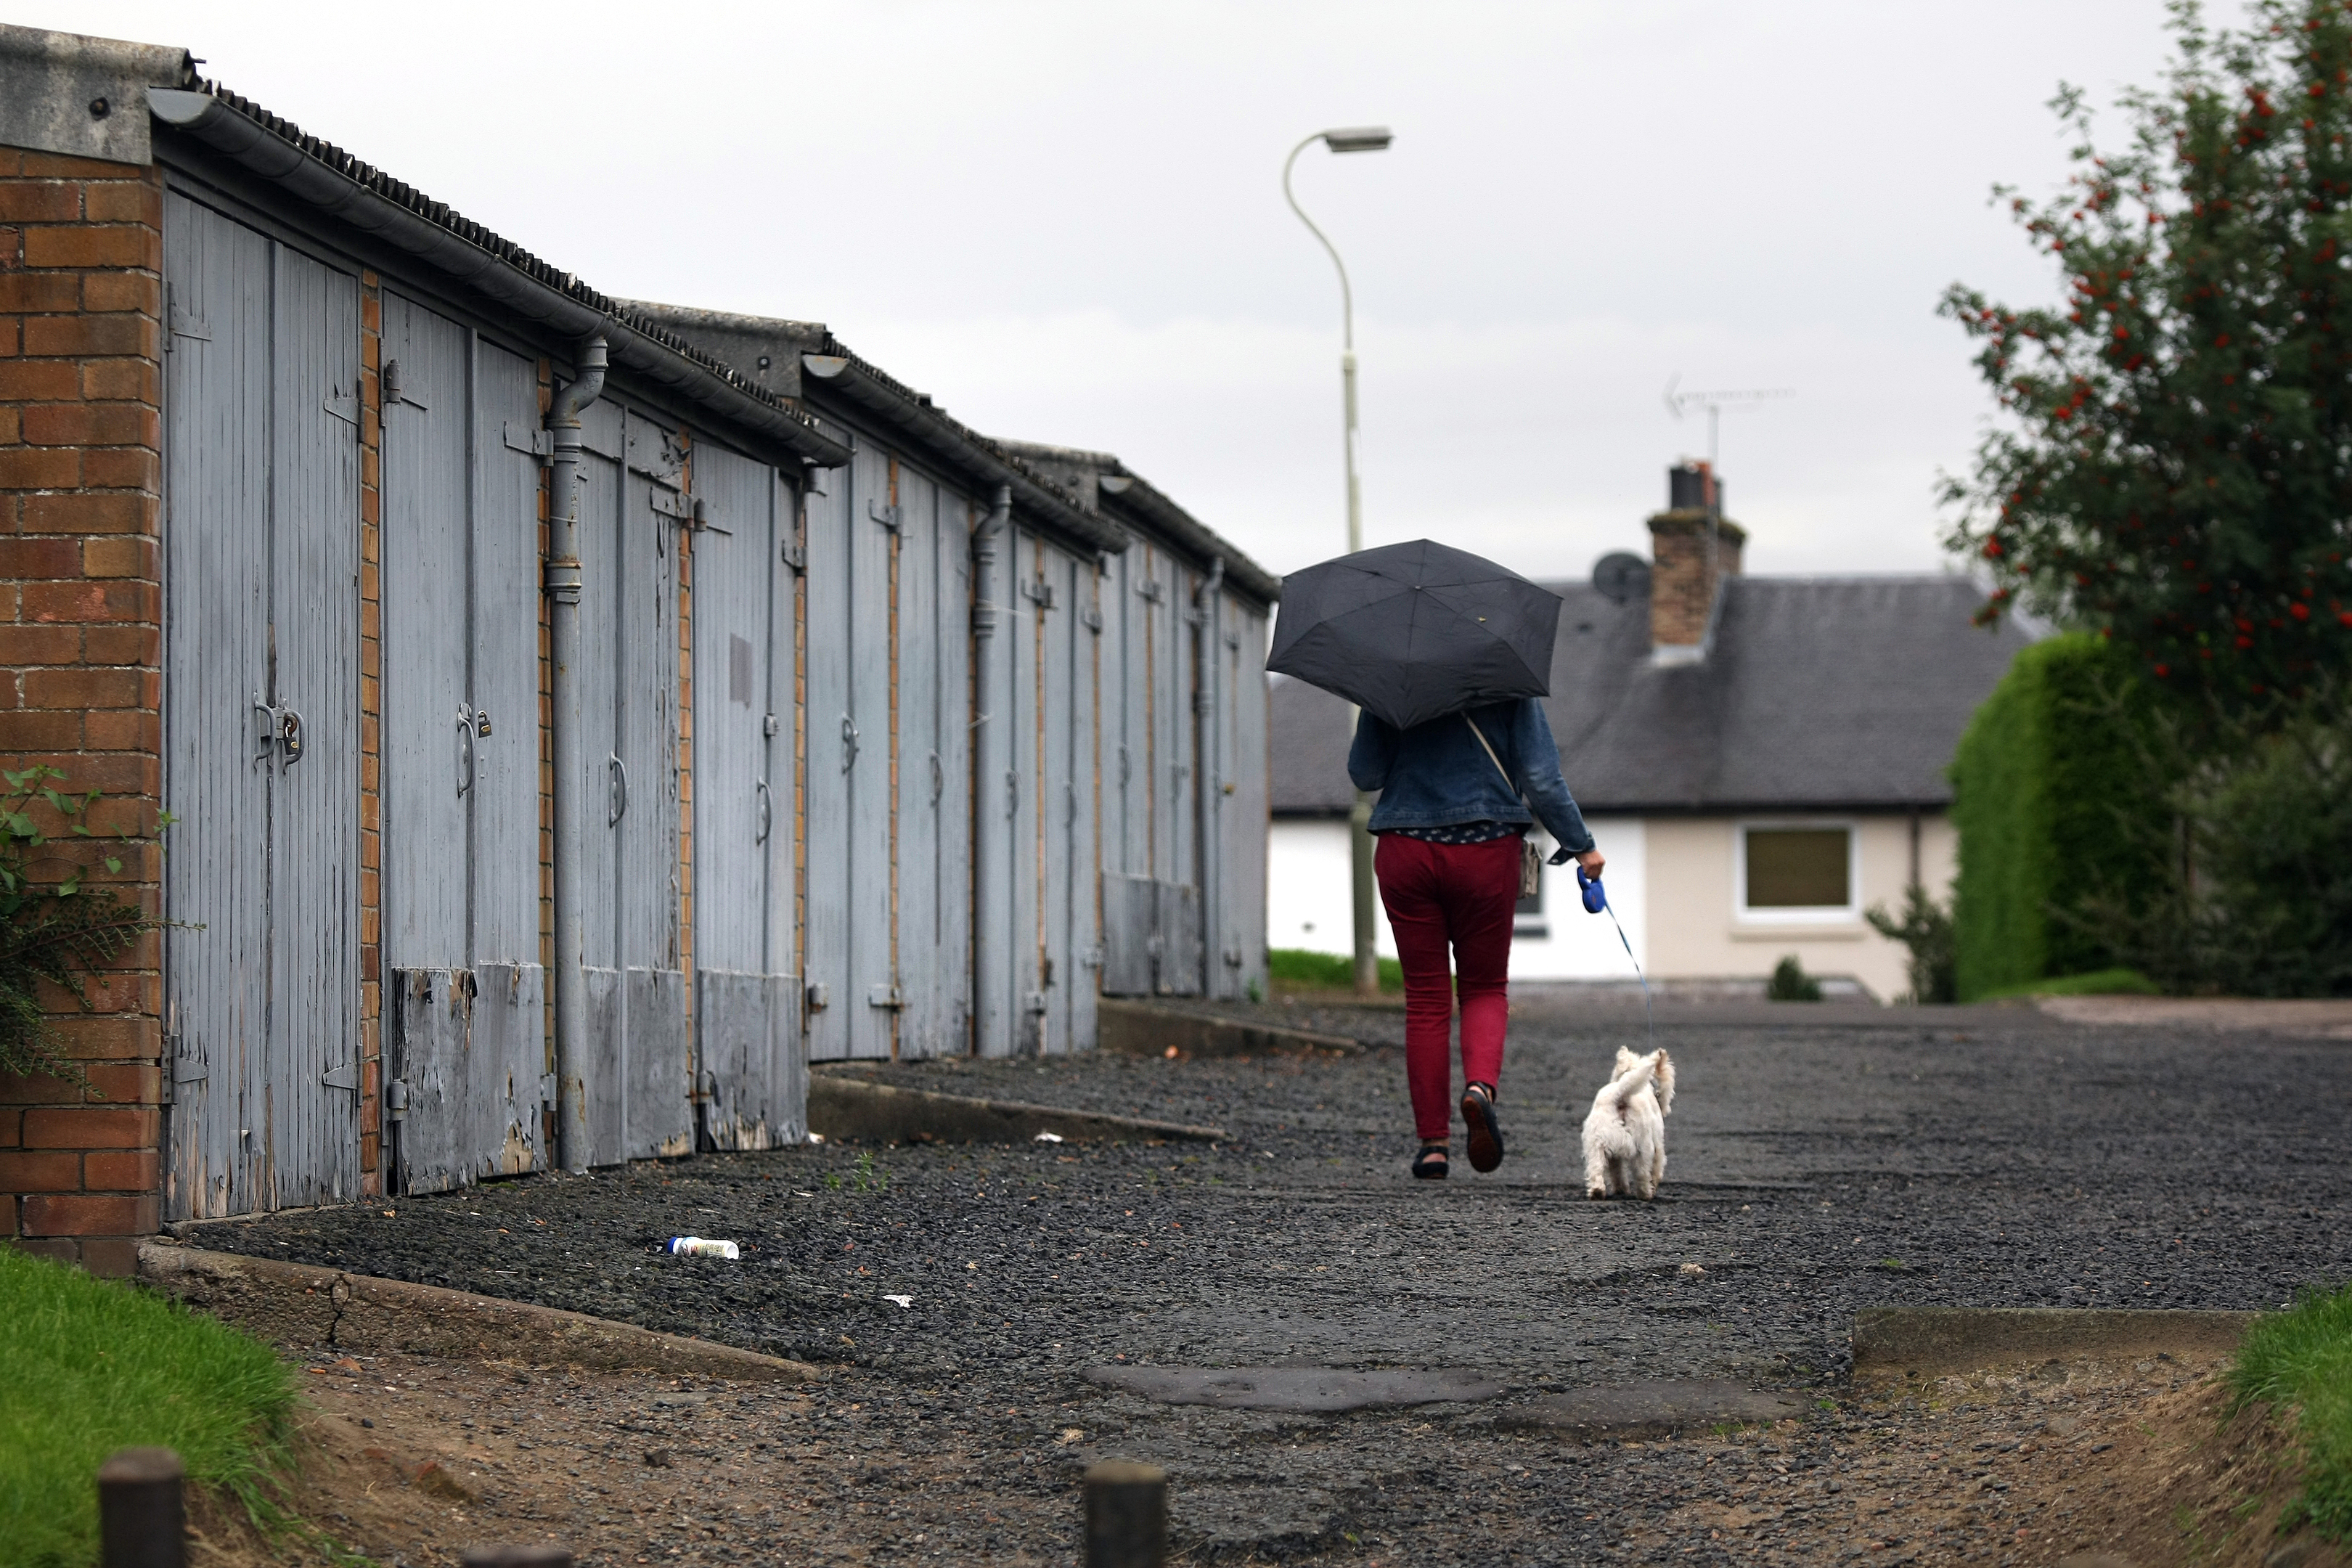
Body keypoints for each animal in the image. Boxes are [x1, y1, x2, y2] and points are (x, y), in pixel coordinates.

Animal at [1580, 1053, 1674, 1204]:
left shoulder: (1613, 1156)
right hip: (1643, 1146)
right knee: (1642, 1173)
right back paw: (1646, 1194)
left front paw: (1621, 1189)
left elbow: (1617, 1171)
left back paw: (1597, 1193)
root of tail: (1620, 1096)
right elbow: (1656, 1169)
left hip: (1595, 1145)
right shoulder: (1658, 1145)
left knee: (1596, 1169)